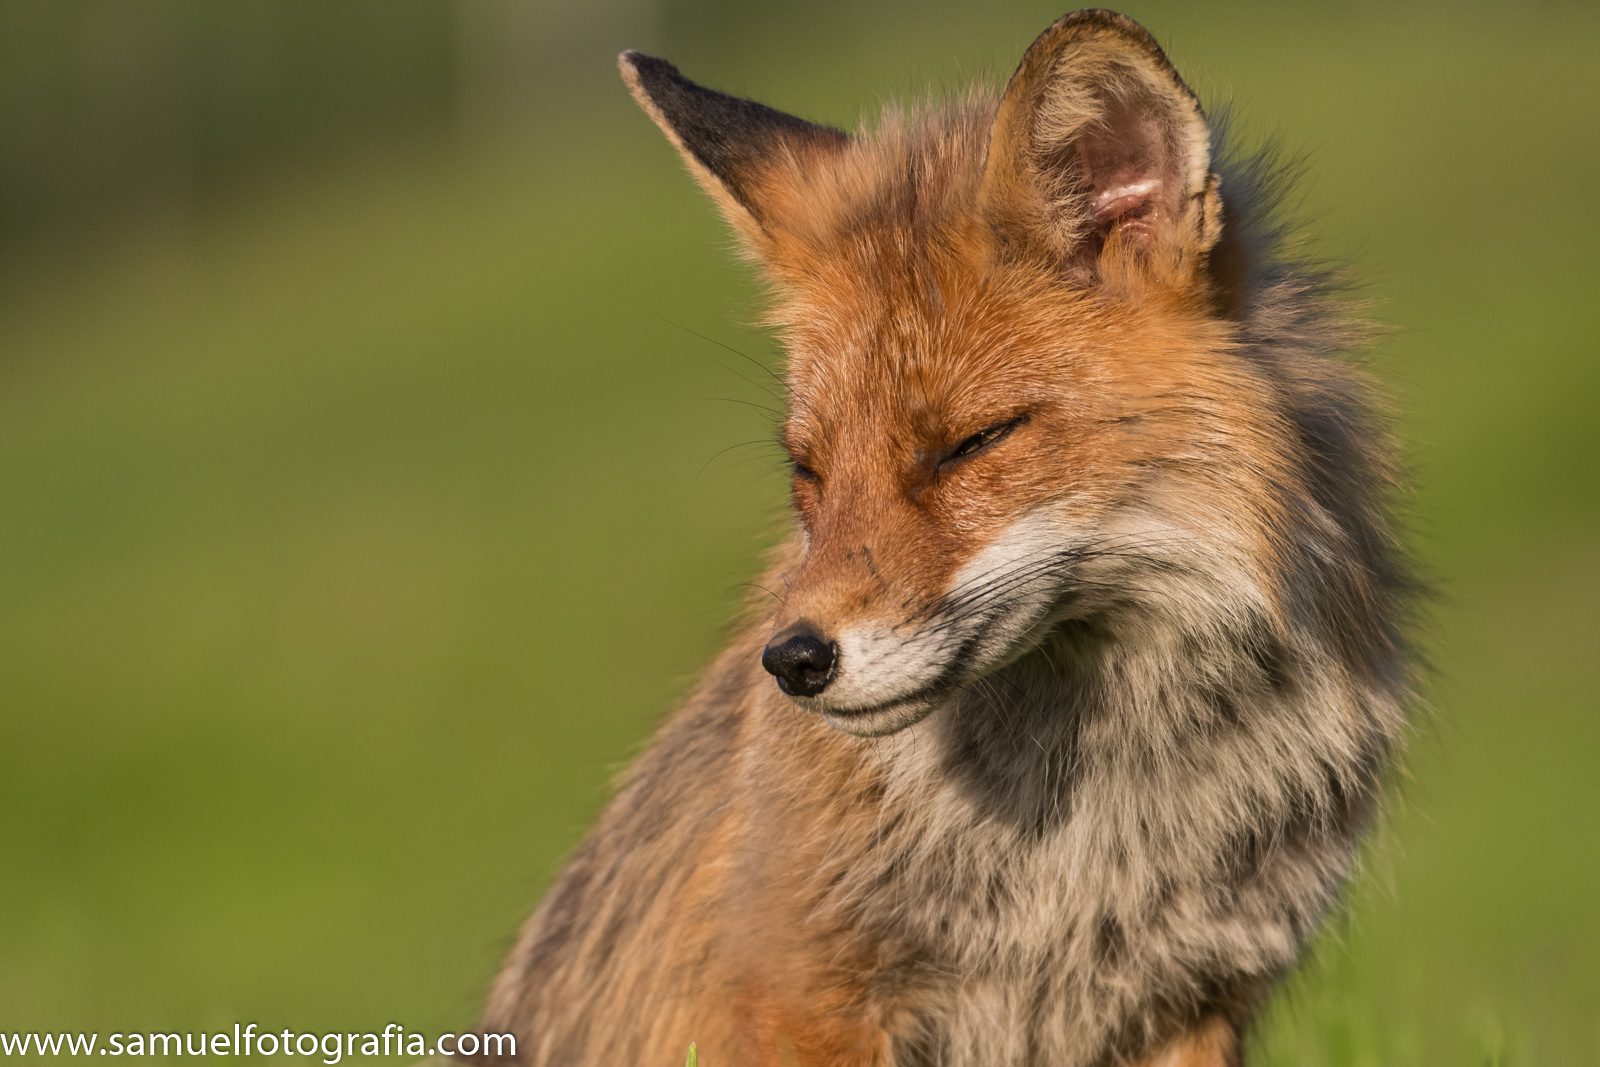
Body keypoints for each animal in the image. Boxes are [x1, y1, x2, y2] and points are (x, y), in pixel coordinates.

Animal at [469, 10, 1412, 1067]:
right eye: (809, 471)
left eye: (967, 445)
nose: (794, 661)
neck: (1090, 838)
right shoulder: (805, 994)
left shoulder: (1197, 994)